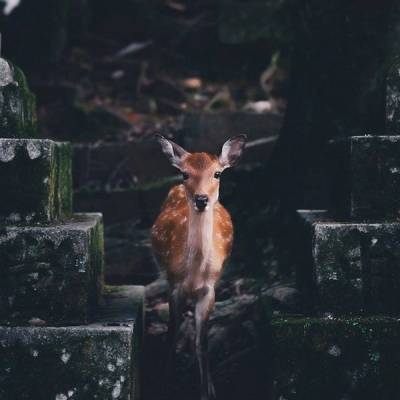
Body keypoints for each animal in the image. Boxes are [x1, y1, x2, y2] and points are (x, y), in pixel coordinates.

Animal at [150, 134, 245, 400]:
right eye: (184, 173)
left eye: (217, 173)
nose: (201, 199)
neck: (193, 274)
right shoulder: (174, 286)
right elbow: (171, 336)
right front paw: (162, 385)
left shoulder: (209, 290)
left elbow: (201, 343)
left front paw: (207, 392)